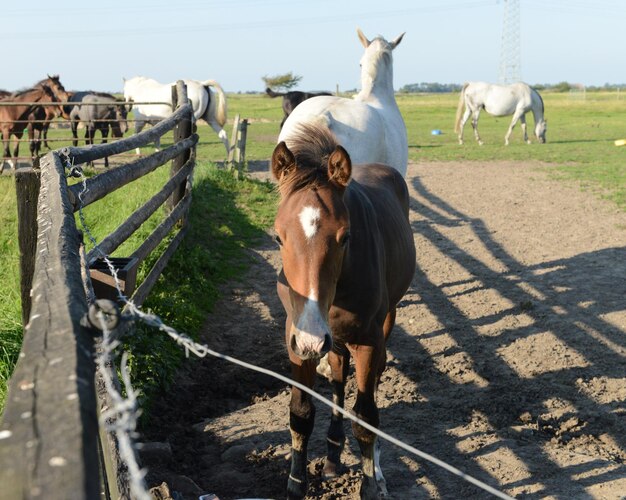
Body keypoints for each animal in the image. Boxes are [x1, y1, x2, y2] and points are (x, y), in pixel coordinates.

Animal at [272, 123, 414, 498]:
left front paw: (370, 484)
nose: (312, 339)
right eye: (278, 237)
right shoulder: (297, 337)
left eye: (346, 236)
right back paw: (334, 454)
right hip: (329, 338)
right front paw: (296, 483)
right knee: (337, 375)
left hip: (381, 325)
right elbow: (301, 413)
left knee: (373, 378)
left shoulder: (366, 340)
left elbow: (365, 417)